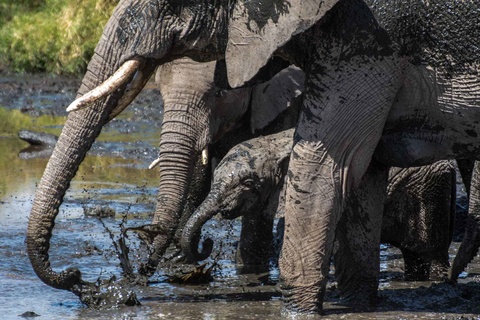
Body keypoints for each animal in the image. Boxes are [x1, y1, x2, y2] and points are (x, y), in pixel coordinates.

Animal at [180, 129, 454, 282]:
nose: (207, 243)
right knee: (414, 254)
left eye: (248, 183)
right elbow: (251, 244)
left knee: (433, 251)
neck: (270, 142)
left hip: (432, 191)